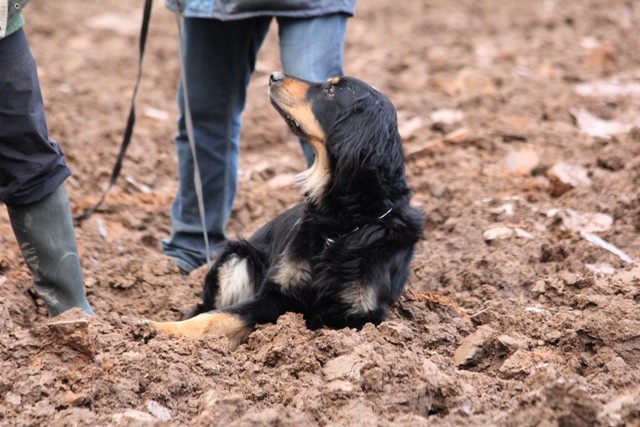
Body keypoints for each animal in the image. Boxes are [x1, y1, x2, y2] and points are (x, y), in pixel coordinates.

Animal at [149, 72, 424, 346]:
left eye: (331, 91)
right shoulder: (276, 293)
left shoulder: (362, 315)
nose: (274, 75)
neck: (343, 223)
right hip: (237, 256)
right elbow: (213, 318)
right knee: (205, 307)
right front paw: (159, 328)